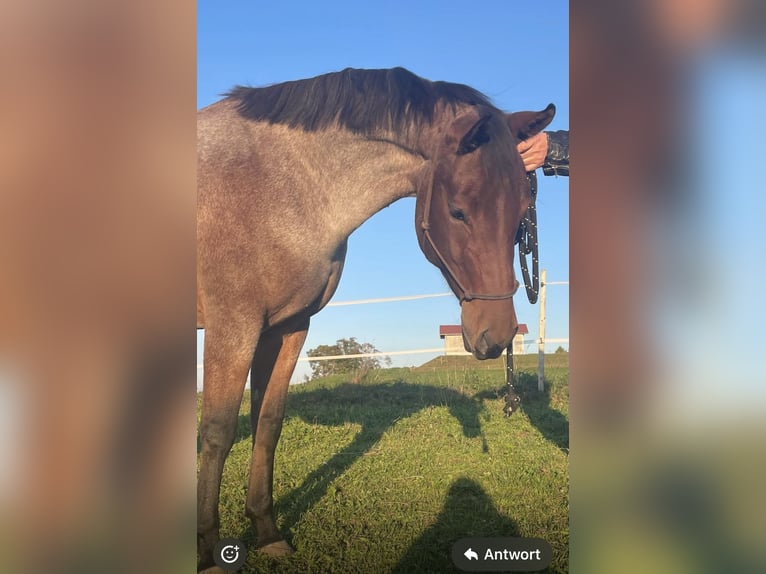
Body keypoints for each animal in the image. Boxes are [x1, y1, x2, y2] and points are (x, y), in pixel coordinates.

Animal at [197, 67, 554, 569]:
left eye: (523, 213)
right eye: (458, 211)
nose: (497, 335)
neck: (277, 186)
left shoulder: (287, 328)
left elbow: (267, 425)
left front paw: (267, 533)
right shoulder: (234, 326)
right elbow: (218, 432)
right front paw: (209, 554)